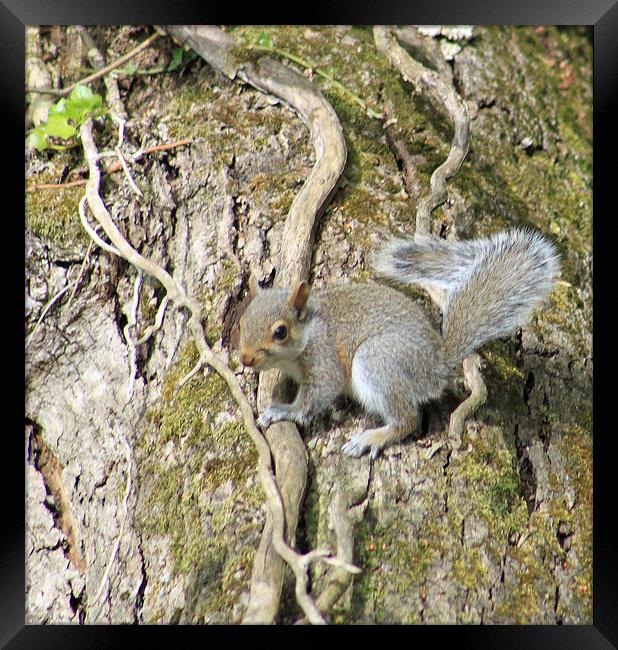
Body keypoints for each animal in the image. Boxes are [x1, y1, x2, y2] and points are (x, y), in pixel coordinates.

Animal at [237, 228, 560, 456]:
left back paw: (372, 438)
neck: (308, 332)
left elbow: (316, 395)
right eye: (242, 321)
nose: (245, 359)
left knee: (408, 420)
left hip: (379, 361)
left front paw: (282, 410)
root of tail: (438, 365)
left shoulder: (323, 357)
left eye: (280, 332)